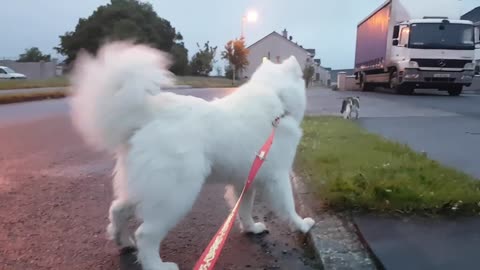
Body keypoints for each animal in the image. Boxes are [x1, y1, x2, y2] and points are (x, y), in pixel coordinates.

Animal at [67, 41, 316, 268]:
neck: (276, 98)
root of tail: (148, 113)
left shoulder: (245, 181)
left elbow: (244, 209)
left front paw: (251, 228)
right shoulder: (278, 177)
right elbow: (288, 206)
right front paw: (302, 224)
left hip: (146, 188)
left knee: (117, 209)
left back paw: (123, 241)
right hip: (176, 195)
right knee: (145, 234)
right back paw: (157, 265)